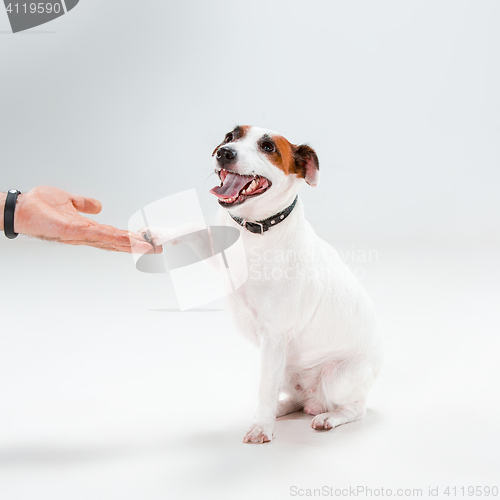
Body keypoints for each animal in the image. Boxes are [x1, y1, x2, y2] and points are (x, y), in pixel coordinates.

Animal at [141, 126, 382, 446]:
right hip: (288, 370)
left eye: (268, 147)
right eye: (230, 136)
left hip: (337, 375)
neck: (254, 229)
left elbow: (264, 387)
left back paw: (327, 417)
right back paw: (282, 408)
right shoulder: (216, 252)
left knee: (354, 408)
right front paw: (157, 233)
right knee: (296, 400)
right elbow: (192, 228)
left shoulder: (275, 335)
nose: (225, 152)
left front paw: (260, 428)